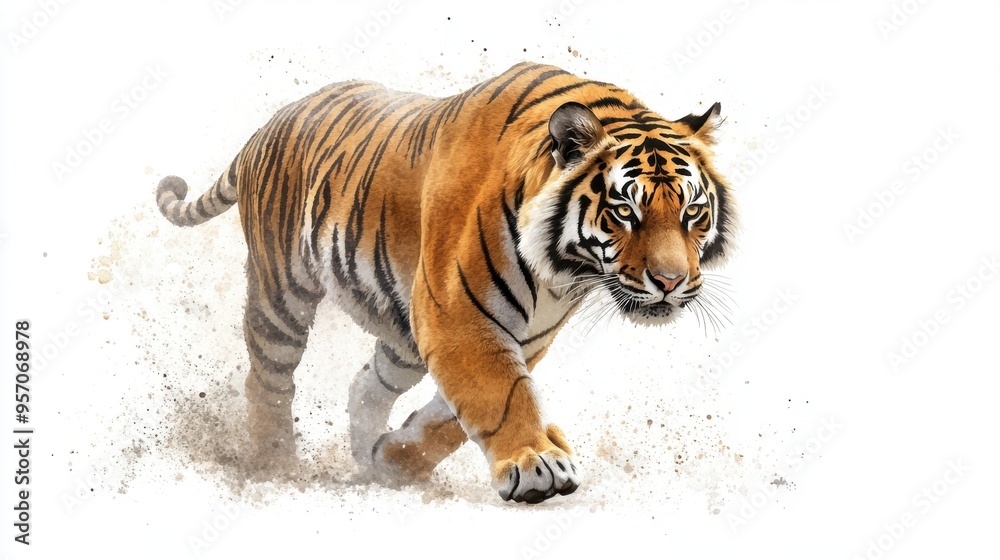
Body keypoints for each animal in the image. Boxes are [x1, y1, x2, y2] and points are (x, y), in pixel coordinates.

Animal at [155, 61, 736, 504]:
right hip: (283, 293)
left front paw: (392, 460)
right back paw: (276, 465)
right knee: (269, 382)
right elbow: (499, 394)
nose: (670, 281)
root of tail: (269, 125)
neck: (564, 274)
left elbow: (454, 418)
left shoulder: (526, 336)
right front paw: (536, 463)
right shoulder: (456, 317)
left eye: (691, 212)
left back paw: (367, 462)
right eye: (624, 212)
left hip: (400, 332)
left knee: (366, 384)